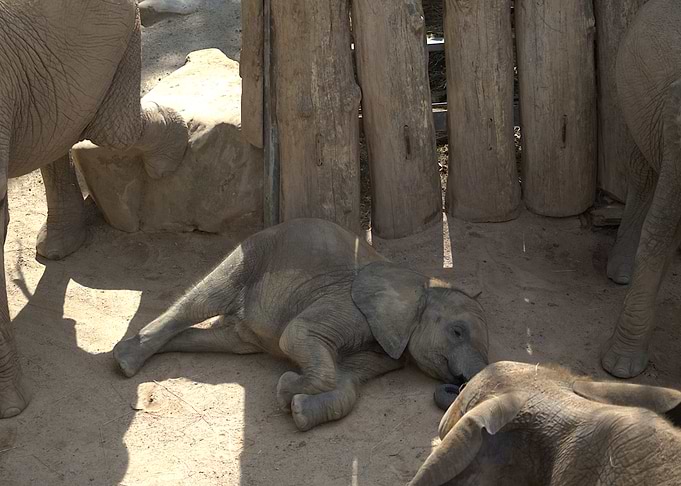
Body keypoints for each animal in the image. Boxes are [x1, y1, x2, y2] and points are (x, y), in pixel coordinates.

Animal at [113, 218, 489, 431]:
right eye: (457, 331)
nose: (459, 384)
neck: (423, 285)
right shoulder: (348, 306)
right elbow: (296, 336)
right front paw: (287, 389)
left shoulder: (386, 349)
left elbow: (347, 380)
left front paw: (300, 411)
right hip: (253, 254)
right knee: (205, 299)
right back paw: (125, 361)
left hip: (244, 329)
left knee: (222, 339)